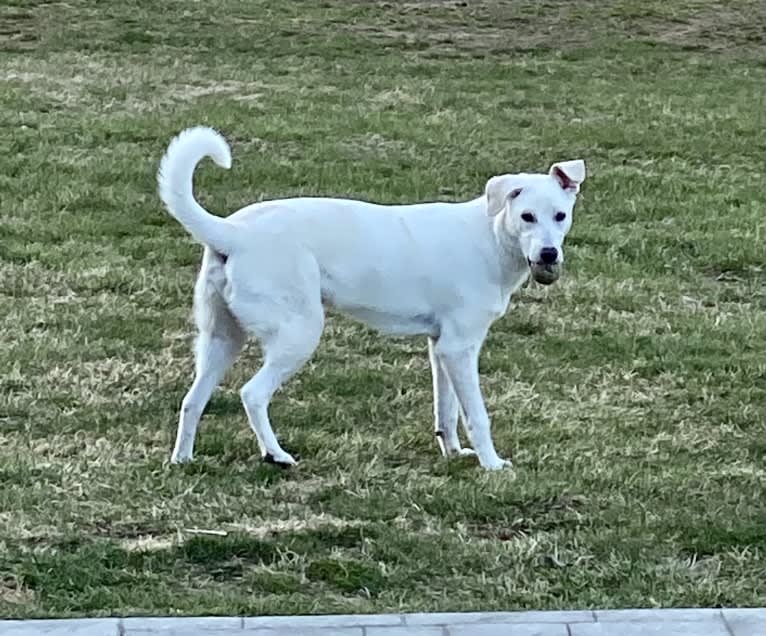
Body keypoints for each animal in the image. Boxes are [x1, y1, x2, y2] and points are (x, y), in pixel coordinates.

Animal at [158, 126, 588, 470]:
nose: (549, 255)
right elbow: (477, 415)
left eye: (560, 216)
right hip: (298, 334)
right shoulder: (461, 348)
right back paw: (276, 455)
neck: (492, 237)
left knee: (191, 402)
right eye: (527, 216)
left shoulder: (442, 348)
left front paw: (454, 454)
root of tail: (232, 233)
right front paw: (492, 464)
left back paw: (183, 460)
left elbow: (446, 412)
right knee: (252, 394)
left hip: (221, 341)